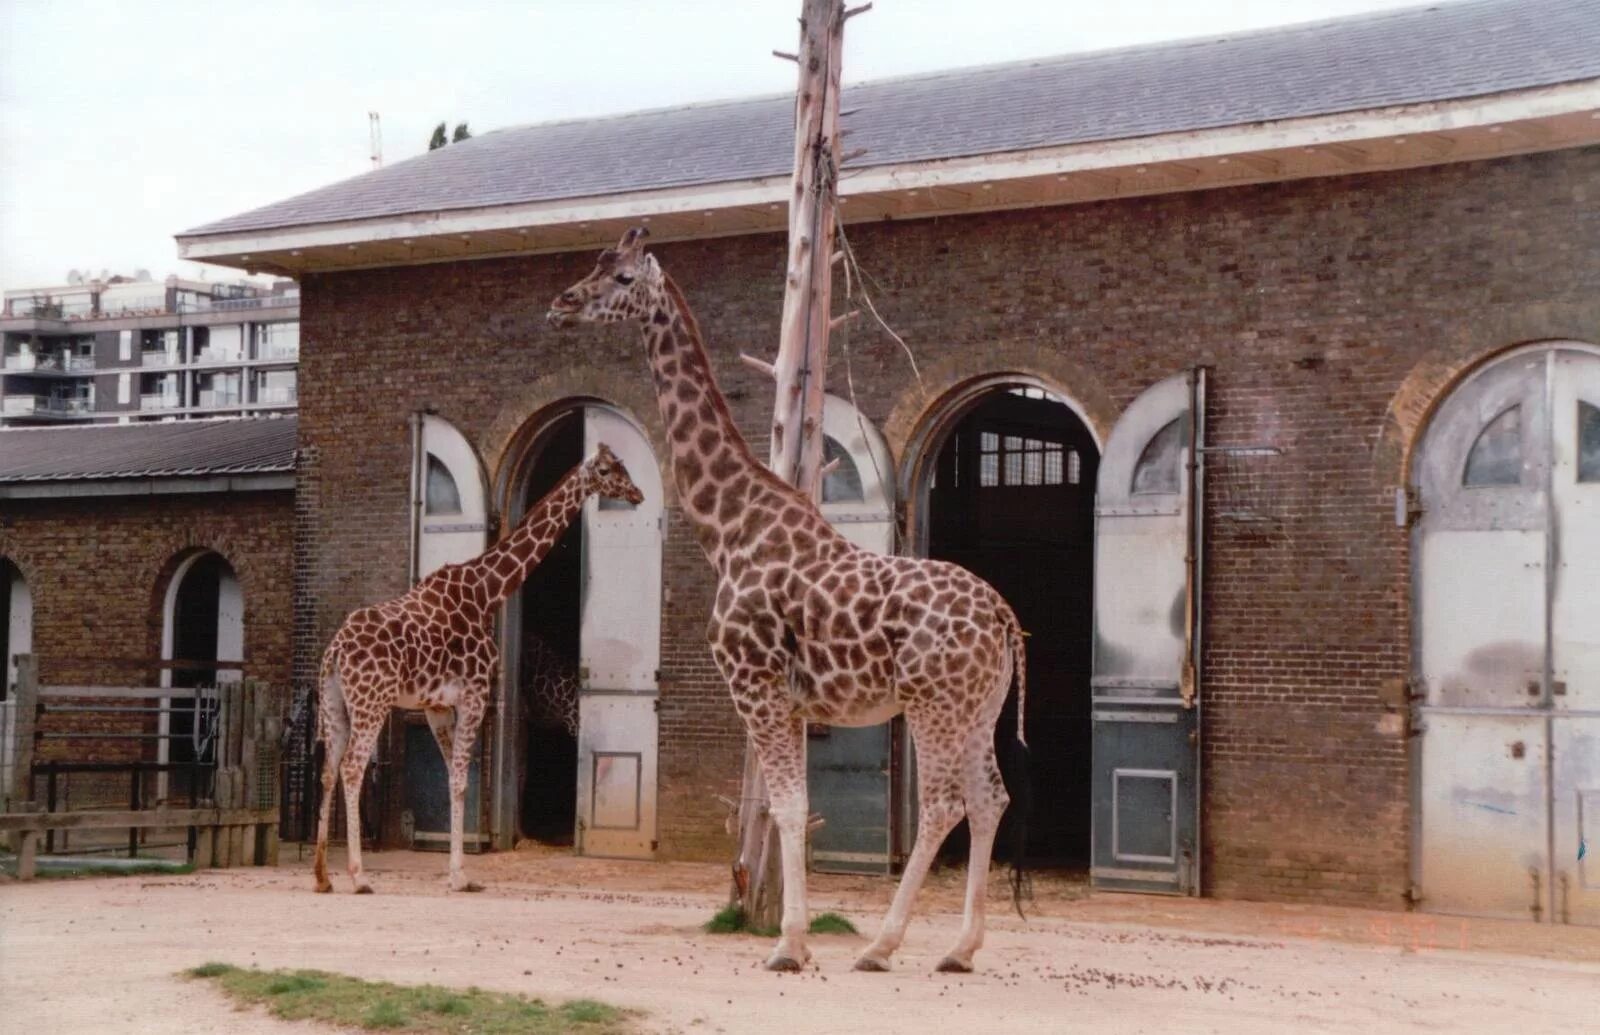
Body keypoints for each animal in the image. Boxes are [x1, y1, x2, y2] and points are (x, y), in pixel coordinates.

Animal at [312, 441, 643, 895]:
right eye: (609, 470)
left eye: (625, 466)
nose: (637, 494)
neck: (486, 592)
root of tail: (335, 651)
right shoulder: (474, 695)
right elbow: (460, 780)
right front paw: (460, 876)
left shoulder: (436, 706)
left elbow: (454, 778)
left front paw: (457, 871)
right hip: (371, 703)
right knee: (351, 768)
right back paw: (359, 876)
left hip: (335, 705)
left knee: (328, 771)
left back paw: (322, 876)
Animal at [550, 230, 1024, 979]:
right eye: (594, 265)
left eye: (621, 277)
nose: (563, 302)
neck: (729, 527)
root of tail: (1002, 616)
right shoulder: (794, 701)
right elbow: (787, 811)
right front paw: (793, 936)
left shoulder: (756, 684)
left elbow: (790, 808)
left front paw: (788, 944)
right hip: (979, 706)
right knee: (988, 796)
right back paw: (959, 948)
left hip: (933, 703)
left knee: (944, 803)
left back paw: (882, 946)